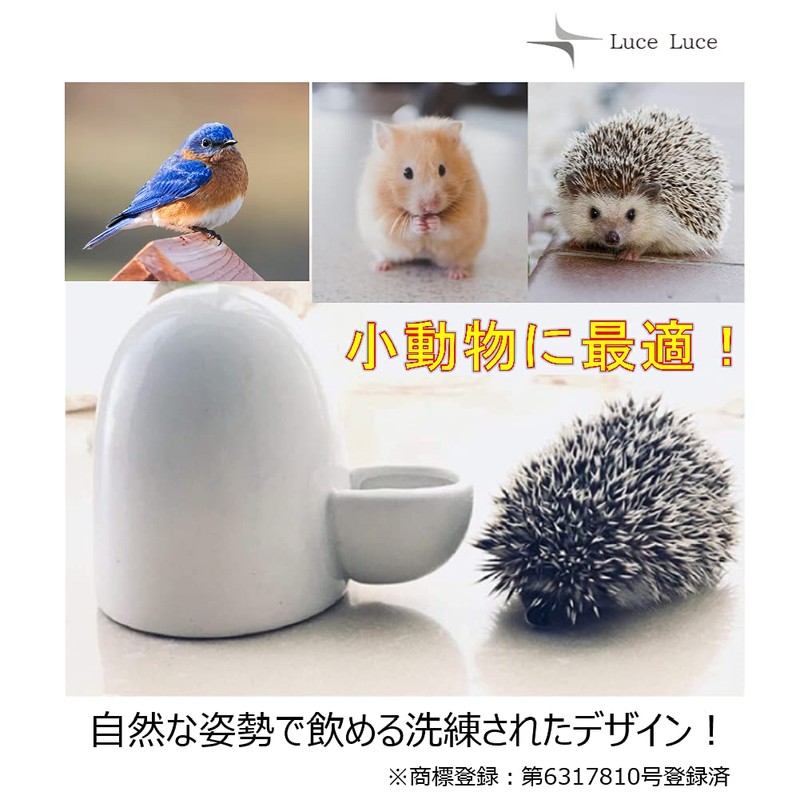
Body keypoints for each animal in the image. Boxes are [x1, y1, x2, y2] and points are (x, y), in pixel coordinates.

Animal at [357, 117, 488, 280]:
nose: (430, 206)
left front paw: (433, 222)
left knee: (458, 263)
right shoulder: (383, 217)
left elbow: (449, 227)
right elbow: (402, 228)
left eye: (442, 169)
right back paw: (379, 266)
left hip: (466, 253)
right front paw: (419, 223)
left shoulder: (465, 218)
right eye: (407, 172)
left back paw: (457, 275)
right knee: (383, 256)